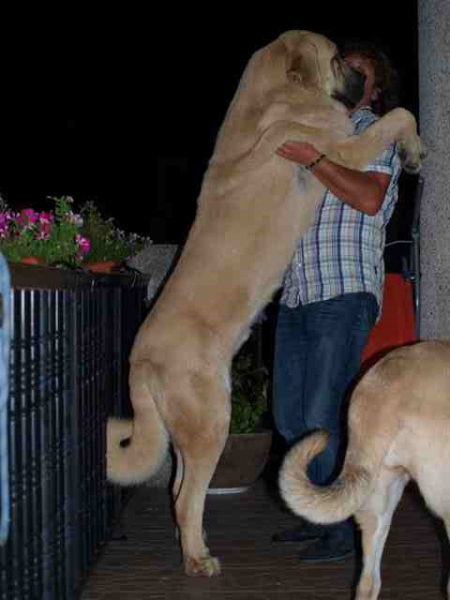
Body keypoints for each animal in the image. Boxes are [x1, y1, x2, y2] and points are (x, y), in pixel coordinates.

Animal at [105, 28, 422, 576]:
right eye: (337, 58)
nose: (361, 82)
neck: (271, 98)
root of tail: (139, 358)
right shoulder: (343, 145)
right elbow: (400, 115)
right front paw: (415, 150)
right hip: (211, 422)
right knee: (186, 495)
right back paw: (198, 561)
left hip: (191, 426)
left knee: (179, 489)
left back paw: (196, 544)